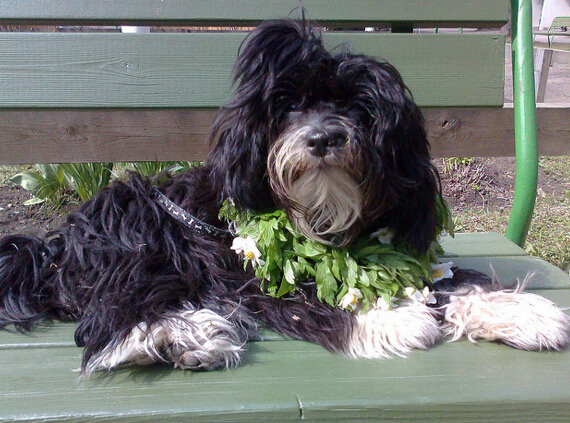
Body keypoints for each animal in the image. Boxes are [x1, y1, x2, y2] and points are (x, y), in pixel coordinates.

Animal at [0, 20, 568, 375]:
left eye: (359, 109)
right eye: (288, 106)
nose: (322, 138)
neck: (322, 213)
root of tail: (53, 249)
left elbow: (453, 281)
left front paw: (523, 311)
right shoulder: (240, 266)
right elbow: (302, 295)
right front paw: (387, 316)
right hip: (142, 233)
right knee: (107, 320)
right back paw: (179, 336)